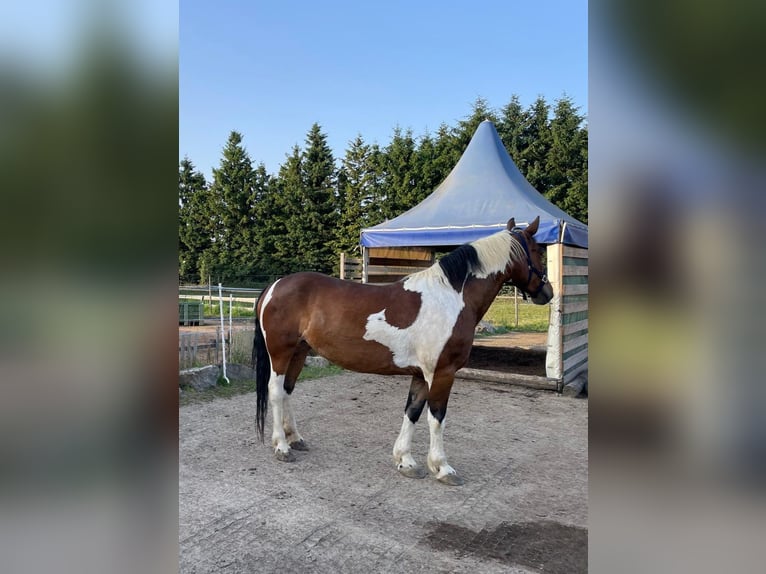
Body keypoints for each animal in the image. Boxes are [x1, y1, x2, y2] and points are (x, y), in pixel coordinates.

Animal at [251, 216, 553, 486]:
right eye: (538, 251)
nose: (547, 292)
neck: (451, 298)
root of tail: (274, 286)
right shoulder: (442, 373)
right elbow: (437, 418)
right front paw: (442, 468)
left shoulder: (422, 374)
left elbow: (413, 412)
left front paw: (406, 461)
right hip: (280, 353)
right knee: (276, 392)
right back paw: (281, 447)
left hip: (299, 353)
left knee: (288, 391)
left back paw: (295, 438)